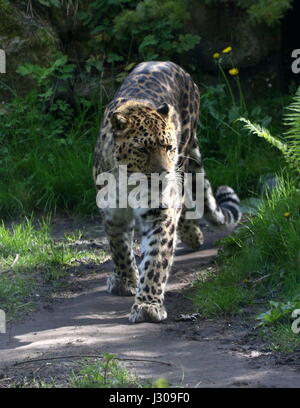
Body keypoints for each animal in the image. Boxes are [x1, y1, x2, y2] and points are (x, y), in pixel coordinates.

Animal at [92, 61, 240, 322]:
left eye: (169, 147)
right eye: (142, 149)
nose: (164, 173)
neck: (129, 182)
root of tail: (171, 64)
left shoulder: (159, 210)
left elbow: (156, 257)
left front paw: (147, 306)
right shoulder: (112, 212)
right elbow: (119, 248)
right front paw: (125, 281)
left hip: (185, 153)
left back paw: (192, 234)